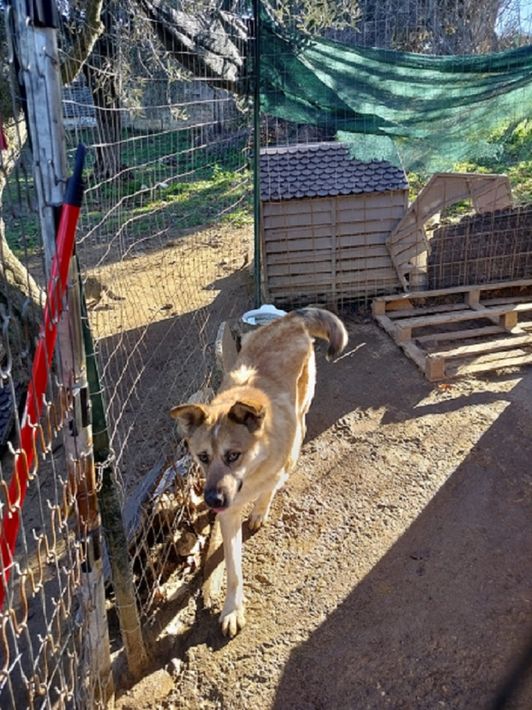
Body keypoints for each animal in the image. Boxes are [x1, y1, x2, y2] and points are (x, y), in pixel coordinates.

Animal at [170, 307, 348, 637]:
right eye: (203, 457)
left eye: (233, 455)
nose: (212, 500)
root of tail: (290, 319)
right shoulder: (228, 514)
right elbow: (233, 569)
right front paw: (232, 609)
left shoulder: (278, 467)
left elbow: (269, 488)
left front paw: (259, 511)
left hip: (303, 400)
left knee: (302, 423)